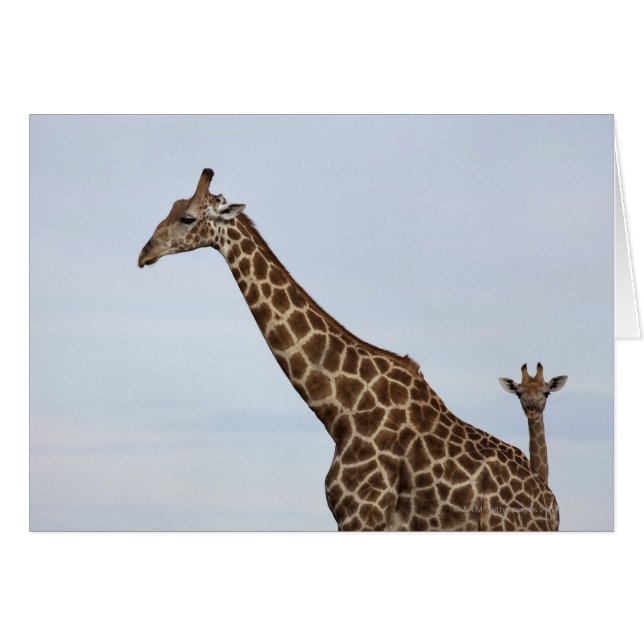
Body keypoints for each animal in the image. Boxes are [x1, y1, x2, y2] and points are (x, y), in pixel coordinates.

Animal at [138, 169, 560, 531]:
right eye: (171, 209)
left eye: (188, 218)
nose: (145, 253)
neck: (342, 408)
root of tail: (551, 505)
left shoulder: (362, 515)